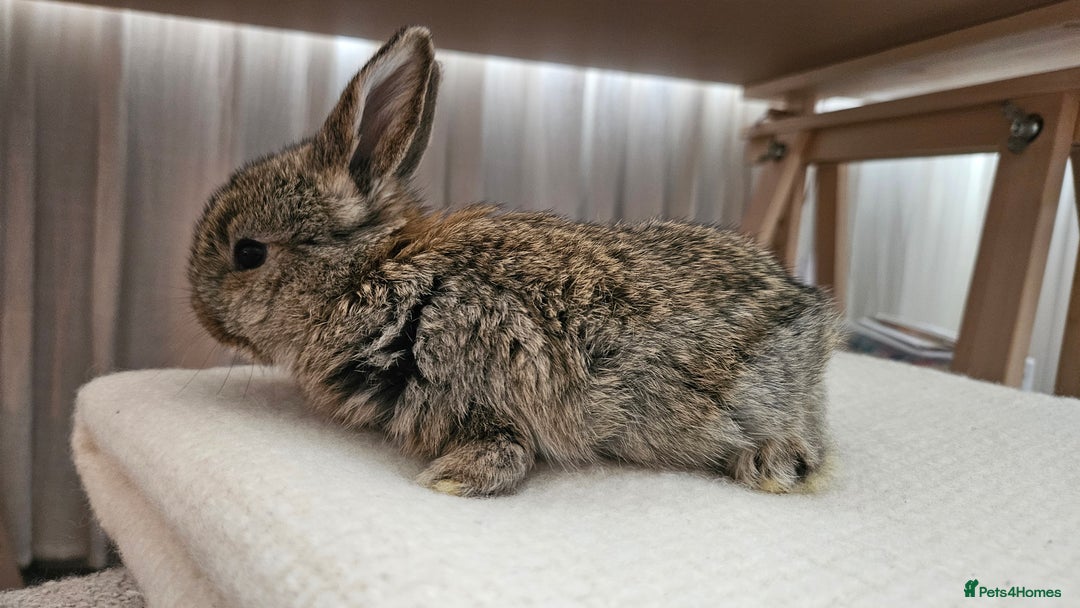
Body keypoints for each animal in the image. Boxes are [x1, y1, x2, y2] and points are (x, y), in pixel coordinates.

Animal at [188, 26, 843, 498]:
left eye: (248, 253)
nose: (202, 316)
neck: (369, 278)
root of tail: (812, 319)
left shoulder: (484, 377)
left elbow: (508, 448)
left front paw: (449, 479)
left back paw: (771, 464)